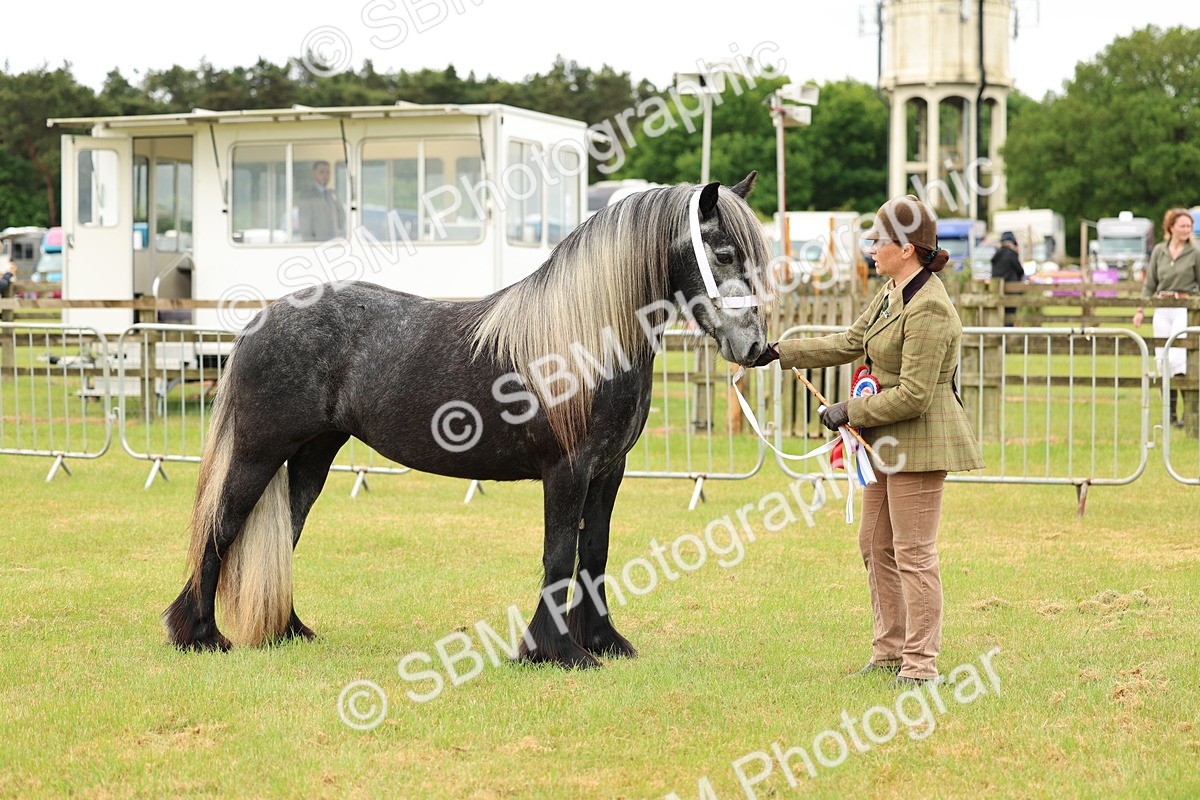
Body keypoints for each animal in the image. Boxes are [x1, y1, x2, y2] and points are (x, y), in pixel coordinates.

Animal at [164, 172, 773, 669]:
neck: (584, 339)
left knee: (285, 534)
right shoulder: (568, 471)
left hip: (312, 456)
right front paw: (555, 652)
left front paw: (604, 642)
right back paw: (199, 635)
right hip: (258, 452)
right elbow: (559, 555)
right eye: (723, 253)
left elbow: (594, 555)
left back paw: (288, 631)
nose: (757, 348)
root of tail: (258, 324)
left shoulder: (608, 471)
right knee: (221, 527)